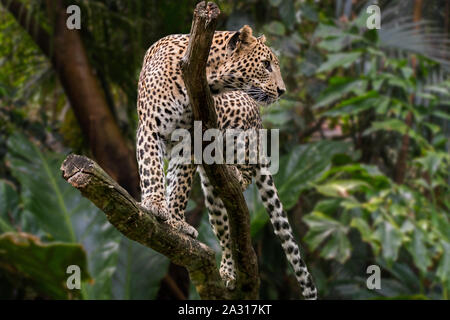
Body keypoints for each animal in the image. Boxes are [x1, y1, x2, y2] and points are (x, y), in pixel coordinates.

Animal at [136, 25, 316, 300]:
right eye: (266, 64)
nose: (282, 90)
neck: (208, 75)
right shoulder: (150, 128)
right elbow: (152, 170)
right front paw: (156, 205)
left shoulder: (189, 141)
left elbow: (179, 187)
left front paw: (176, 220)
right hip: (213, 194)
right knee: (225, 229)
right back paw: (229, 272)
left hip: (241, 129)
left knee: (244, 171)